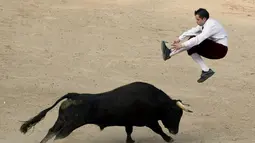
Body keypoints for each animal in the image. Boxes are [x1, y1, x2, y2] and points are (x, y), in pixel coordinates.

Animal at [19, 81, 192, 143]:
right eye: (176, 114)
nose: (175, 131)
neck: (156, 101)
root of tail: (74, 95)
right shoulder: (150, 121)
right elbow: (159, 130)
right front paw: (169, 139)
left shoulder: (129, 122)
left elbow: (128, 131)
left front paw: (130, 141)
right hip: (70, 125)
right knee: (58, 136)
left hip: (61, 121)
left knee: (50, 132)